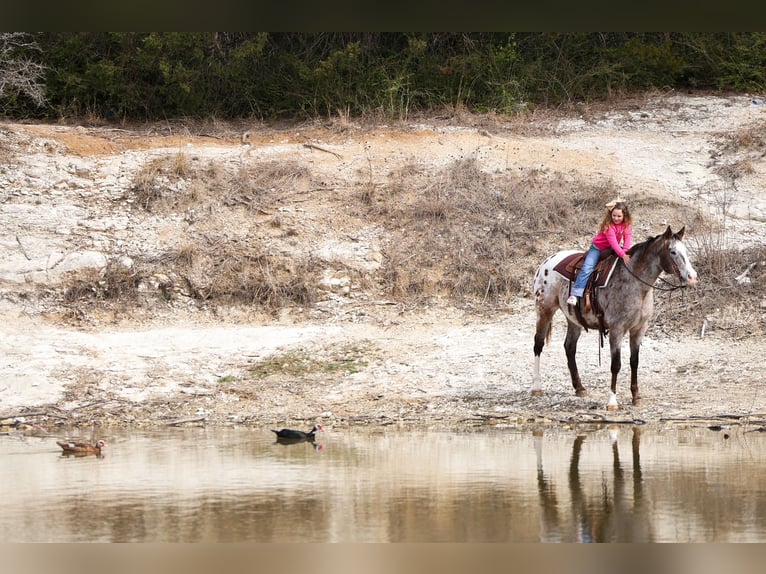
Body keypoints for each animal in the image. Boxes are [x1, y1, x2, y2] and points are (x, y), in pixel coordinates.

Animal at [531, 226, 698, 410]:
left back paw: (579, 387)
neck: (636, 284)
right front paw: (612, 400)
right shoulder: (616, 330)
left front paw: (636, 397)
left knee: (569, 347)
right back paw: (536, 387)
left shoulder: (639, 329)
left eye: (686, 251)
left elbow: (634, 361)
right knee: (538, 344)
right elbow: (616, 364)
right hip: (544, 310)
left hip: (573, 319)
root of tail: (546, 262)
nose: (692, 276)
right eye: (673, 251)